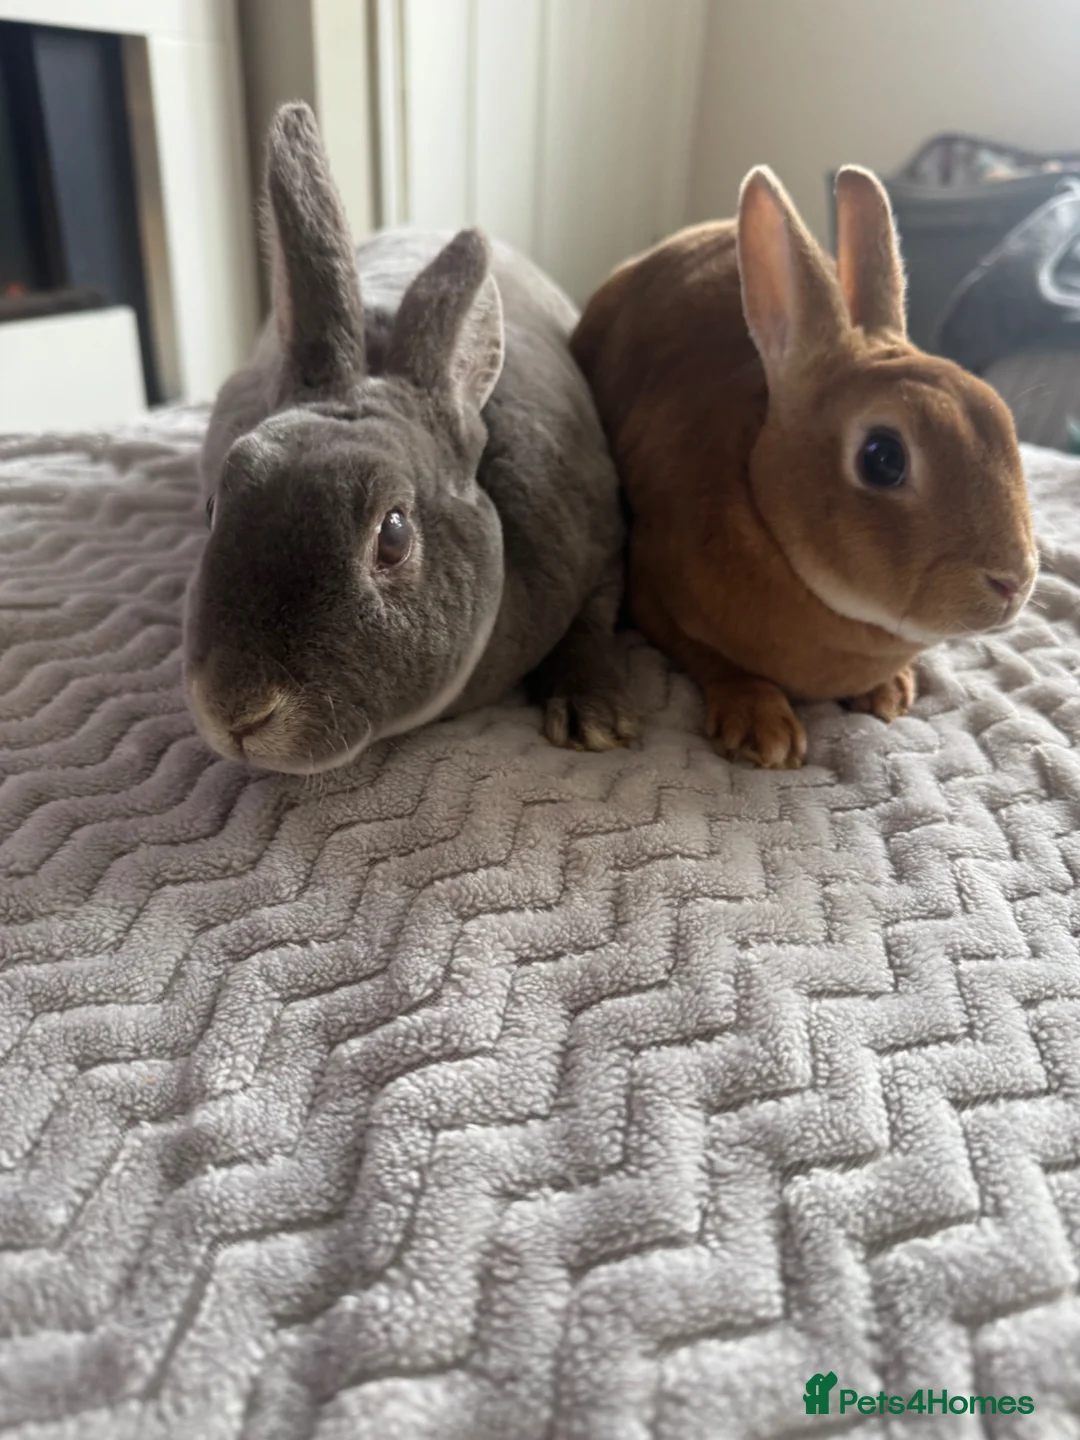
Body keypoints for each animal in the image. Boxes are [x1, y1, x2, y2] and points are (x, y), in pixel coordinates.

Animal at [183, 102, 634, 774]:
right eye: (215, 506)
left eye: (393, 536)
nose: (236, 710)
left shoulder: (603, 548)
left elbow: (592, 625)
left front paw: (593, 716)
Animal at [571, 165, 1037, 769]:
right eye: (883, 458)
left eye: (1006, 425)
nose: (1014, 583)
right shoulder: (653, 592)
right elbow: (714, 660)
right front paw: (762, 729)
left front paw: (890, 693)